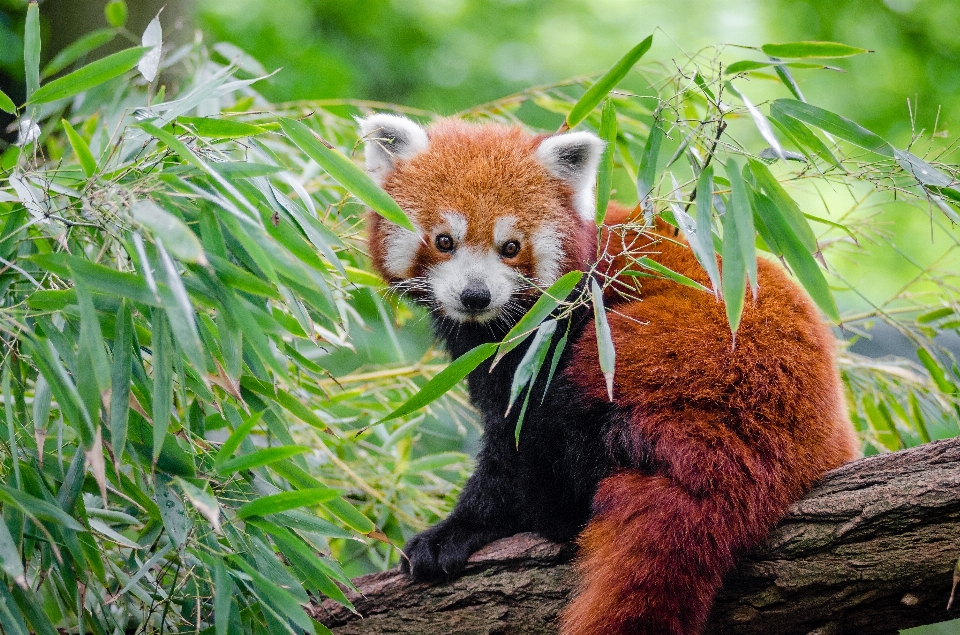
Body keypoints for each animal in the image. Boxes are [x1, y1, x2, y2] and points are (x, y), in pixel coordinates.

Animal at [356, 114, 860, 635]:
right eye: (444, 241)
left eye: (511, 247)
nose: (475, 295)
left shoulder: (550, 336)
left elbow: (509, 445)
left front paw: (458, 529)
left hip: (646, 360)